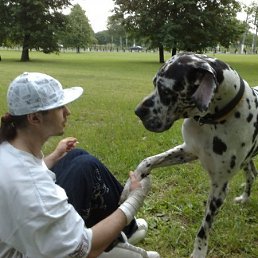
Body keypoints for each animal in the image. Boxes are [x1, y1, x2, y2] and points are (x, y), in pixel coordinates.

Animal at [122, 53, 256, 258]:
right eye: (154, 83)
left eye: (164, 90)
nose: (137, 111)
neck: (214, 121)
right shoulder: (188, 150)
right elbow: (147, 161)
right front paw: (131, 183)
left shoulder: (219, 188)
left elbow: (203, 230)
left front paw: (199, 252)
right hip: (246, 161)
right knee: (251, 175)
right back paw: (245, 197)